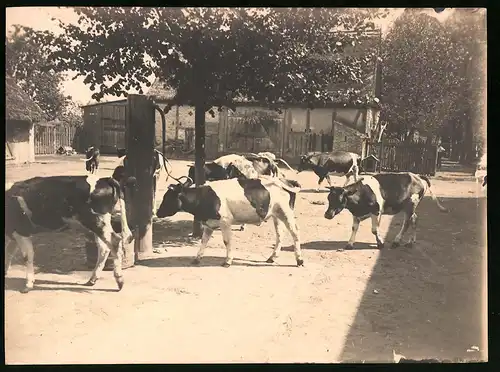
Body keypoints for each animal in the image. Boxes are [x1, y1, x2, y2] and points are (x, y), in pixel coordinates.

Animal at [4, 172, 137, 294]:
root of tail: (104, 179)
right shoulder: (12, 235)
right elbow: (8, 254)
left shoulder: (21, 231)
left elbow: (27, 256)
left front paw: (27, 285)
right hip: (99, 223)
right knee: (104, 248)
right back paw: (92, 280)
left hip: (97, 220)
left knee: (115, 241)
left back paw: (119, 282)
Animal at [156, 174, 304, 268]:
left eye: (168, 197)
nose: (157, 212)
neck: (204, 197)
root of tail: (286, 181)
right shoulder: (209, 224)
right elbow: (204, 241)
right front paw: (197, 258)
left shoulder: (225, 222)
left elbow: (227, 242)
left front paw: (228, 261)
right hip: (276, 215)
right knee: (280, 234)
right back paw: (272, 257)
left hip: (286, 212)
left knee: (295, 233)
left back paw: (299, 260)